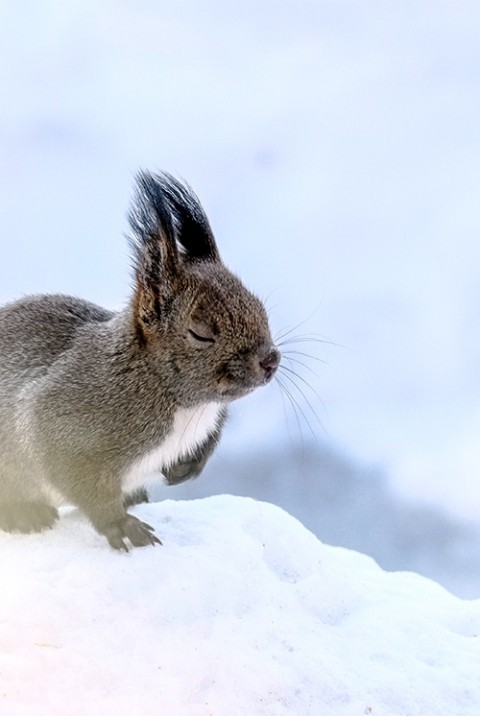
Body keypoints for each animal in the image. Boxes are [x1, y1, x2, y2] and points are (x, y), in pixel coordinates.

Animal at [0, 171, 280, 552]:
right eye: (201, 333)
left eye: (260, 307)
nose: (270, 360)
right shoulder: (60, 423)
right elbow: (85, 486)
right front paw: (120, 525)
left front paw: (187, 465)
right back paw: (23, 514)